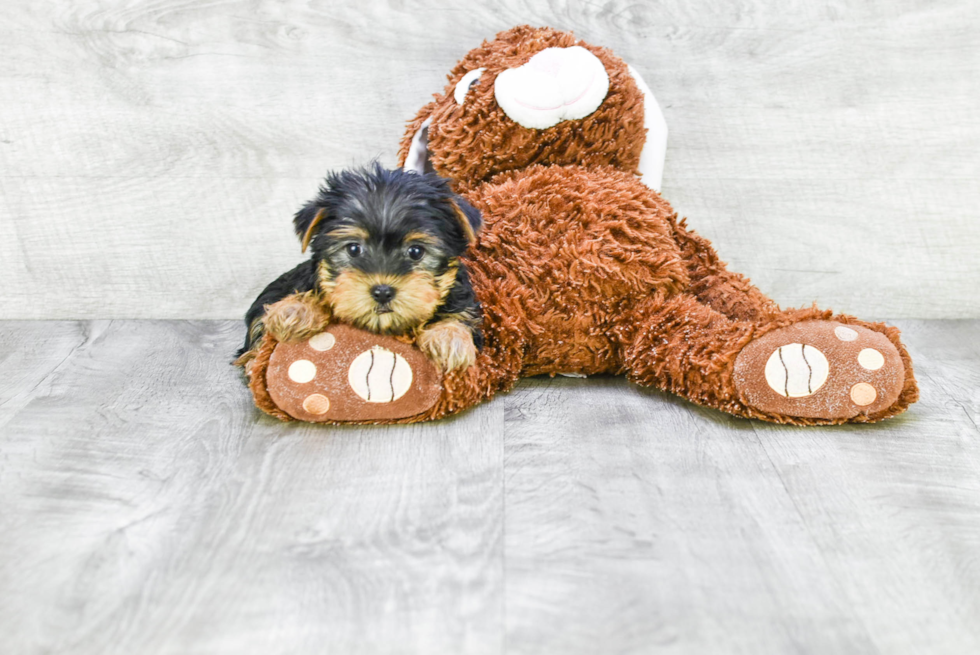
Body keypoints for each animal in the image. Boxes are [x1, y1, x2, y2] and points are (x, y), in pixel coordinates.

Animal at [237, 164, 482, 374]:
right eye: (353, 249)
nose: (382, 291)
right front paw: (296, 310)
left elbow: (461, 317)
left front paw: (449, 338)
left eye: (416, 251)